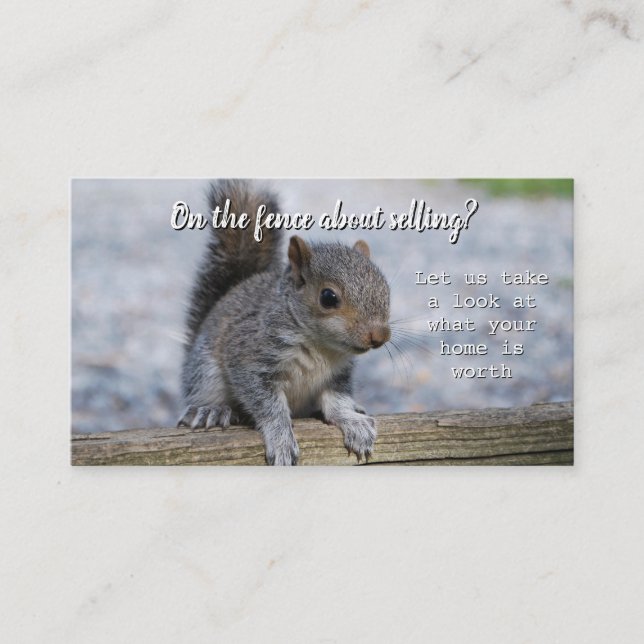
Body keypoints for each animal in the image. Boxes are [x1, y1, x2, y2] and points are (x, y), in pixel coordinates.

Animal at [178, 180, 391, 465]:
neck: (323, 347)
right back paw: (210, 409)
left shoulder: (337, 375)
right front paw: (281, 440)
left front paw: (353, 422)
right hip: (205, 370)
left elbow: (337, 401)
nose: (379, 335)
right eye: (328, 297)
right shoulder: (251, 357)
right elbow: (268, 405)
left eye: (386, 289)